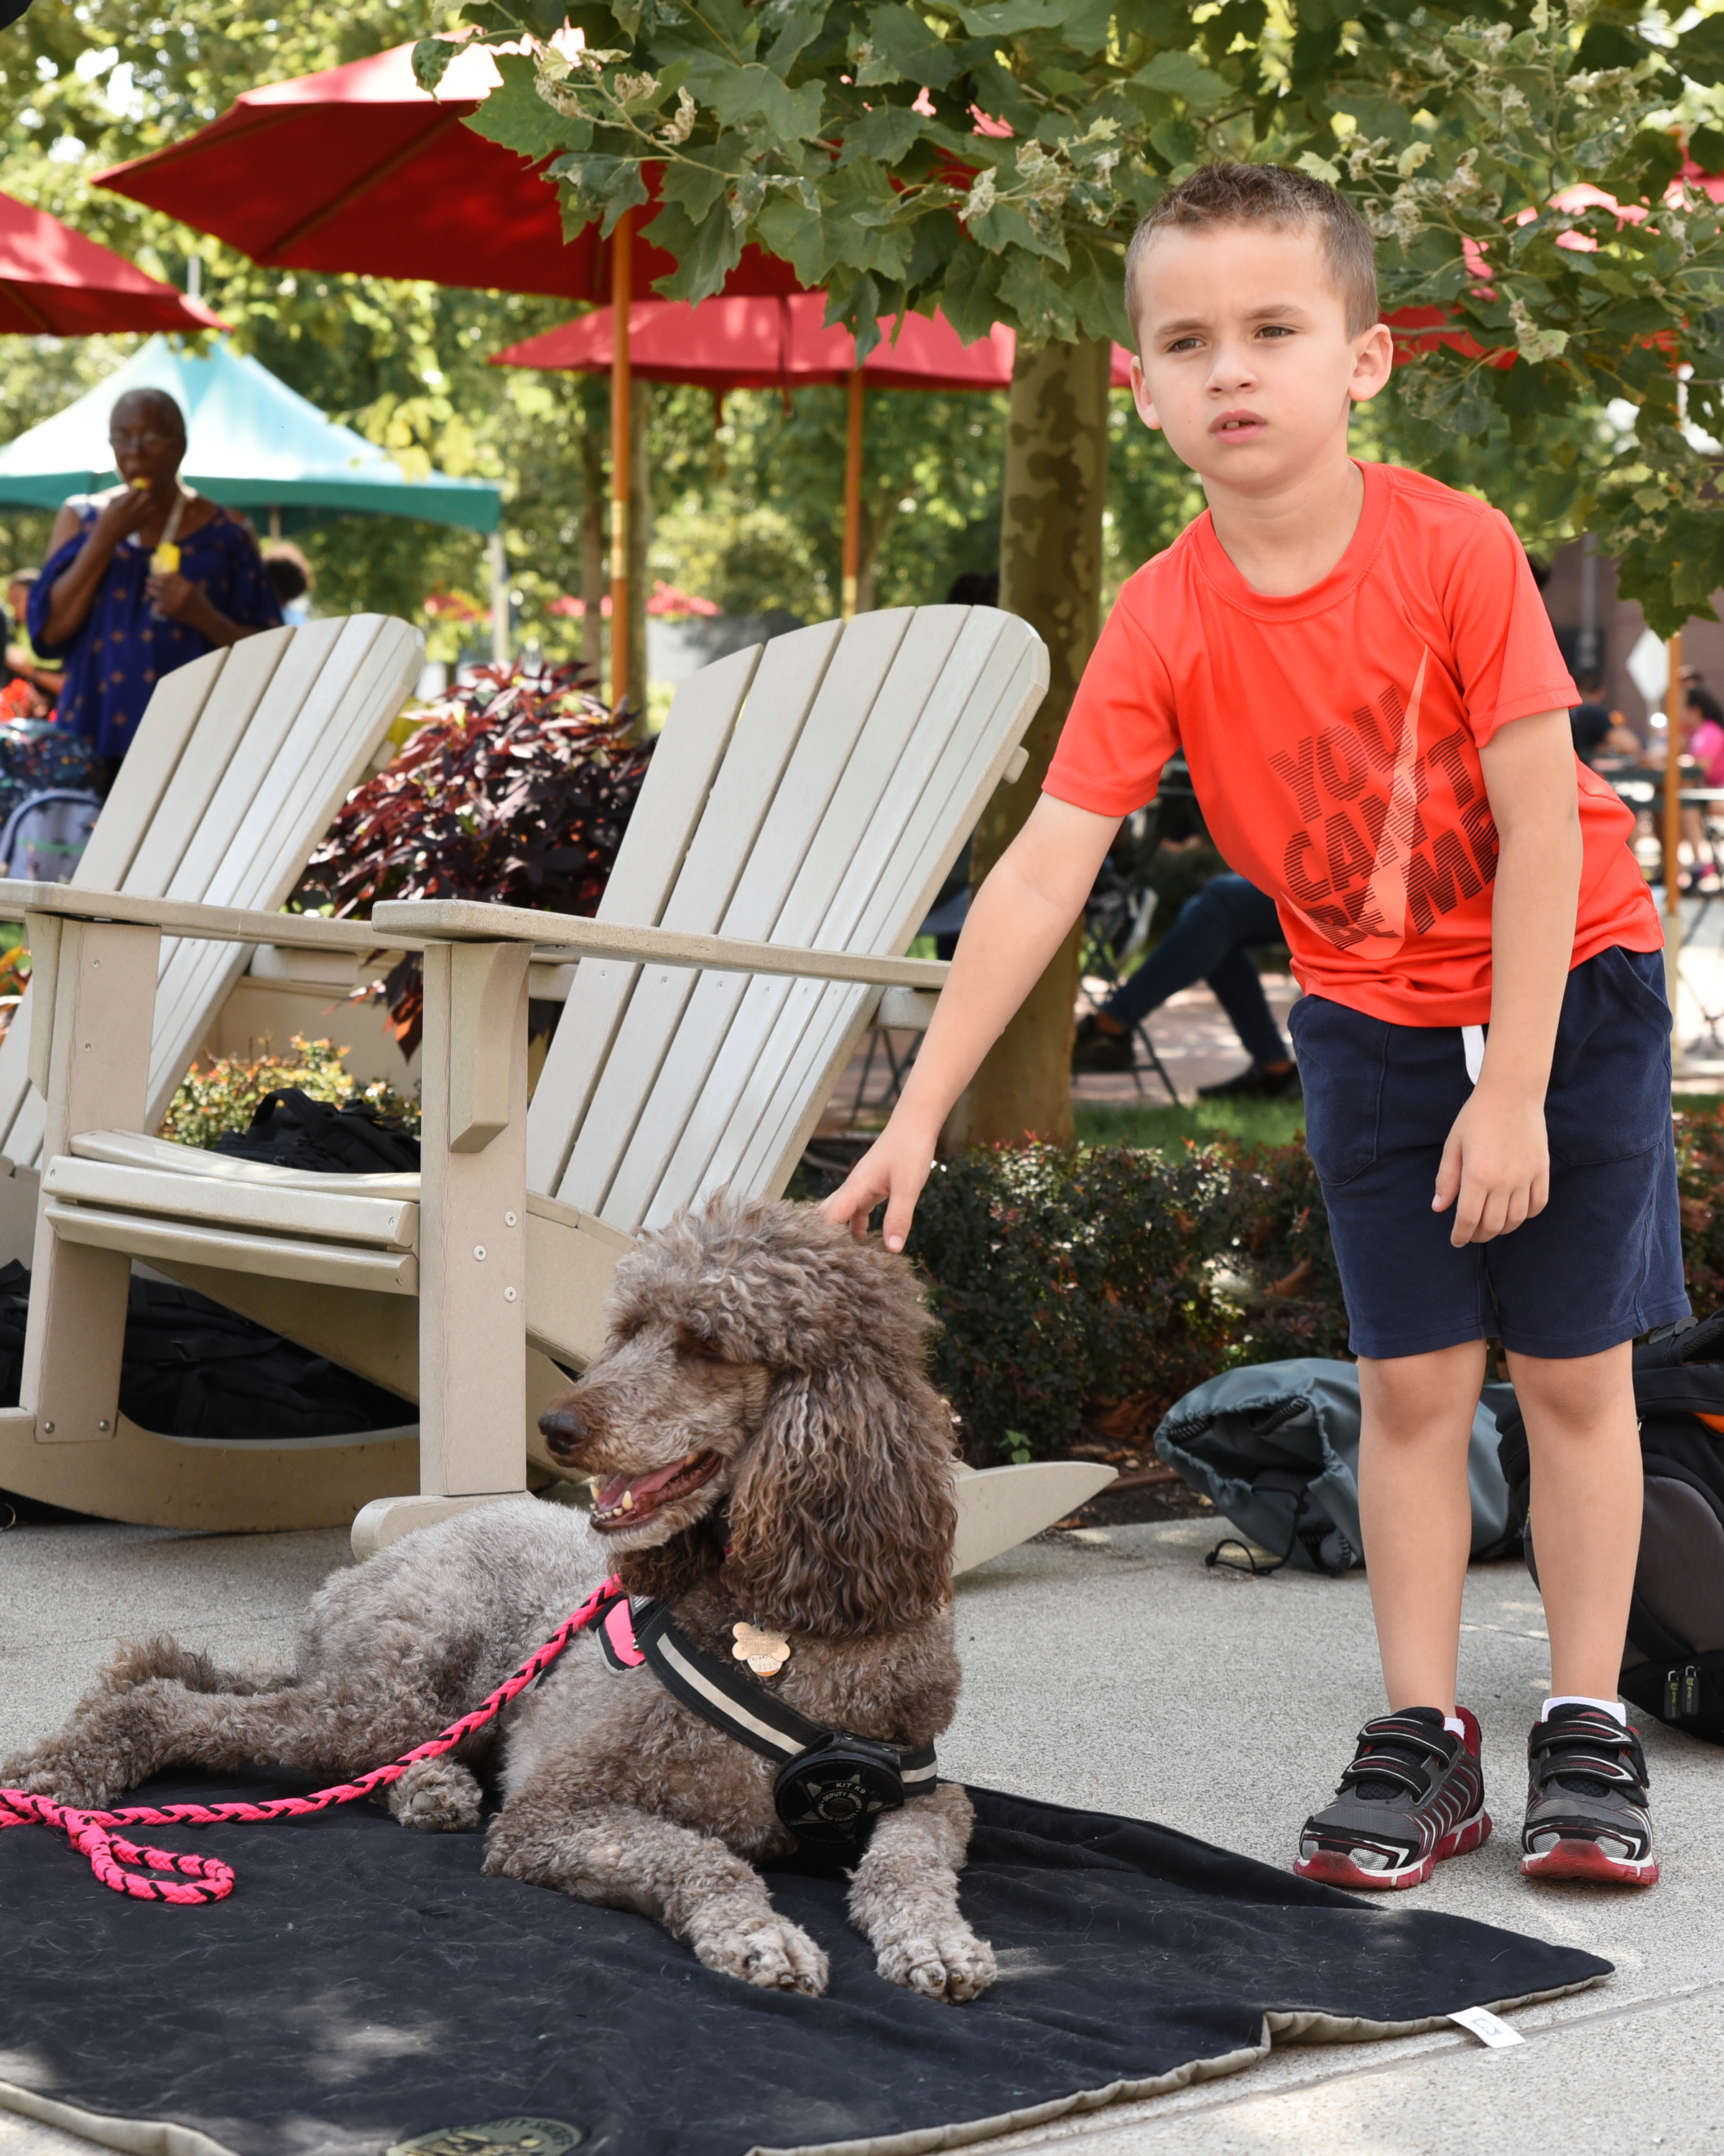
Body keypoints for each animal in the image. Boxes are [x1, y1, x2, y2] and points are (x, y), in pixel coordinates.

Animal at [4, 1196, 995, 2002]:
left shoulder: (929, 1797)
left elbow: (909, 1862)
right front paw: (759, 1934)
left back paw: (429, 1787)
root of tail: (346, 1582)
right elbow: (697, 1855)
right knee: (172, 1701)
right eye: (631, 1326)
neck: (784, 1621)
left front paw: (936, 1943)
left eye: (709, 1344)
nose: (556, 1425)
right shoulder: (555, 1811)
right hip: (400, 1684)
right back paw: (71, 1767)